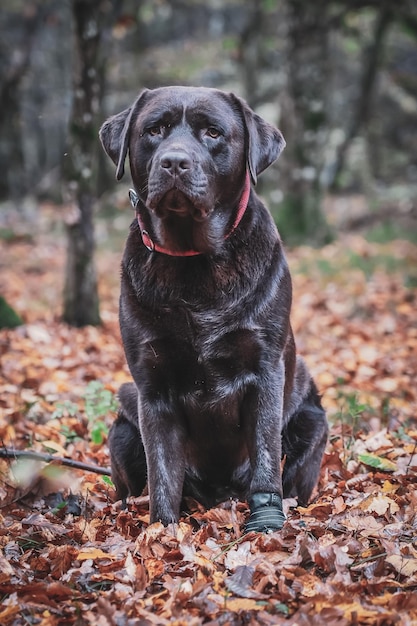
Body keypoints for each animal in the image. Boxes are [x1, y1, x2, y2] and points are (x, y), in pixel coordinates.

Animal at [99, 85, 326, 528]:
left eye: (213, 133)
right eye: (154, 130)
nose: (174, 162)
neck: (193, 261)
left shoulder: (265, 367)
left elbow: (266, 454)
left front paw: (266, 523)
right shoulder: (152, 385)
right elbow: (163, 471)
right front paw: (162, 531)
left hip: (312, 418)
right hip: (123, 418)